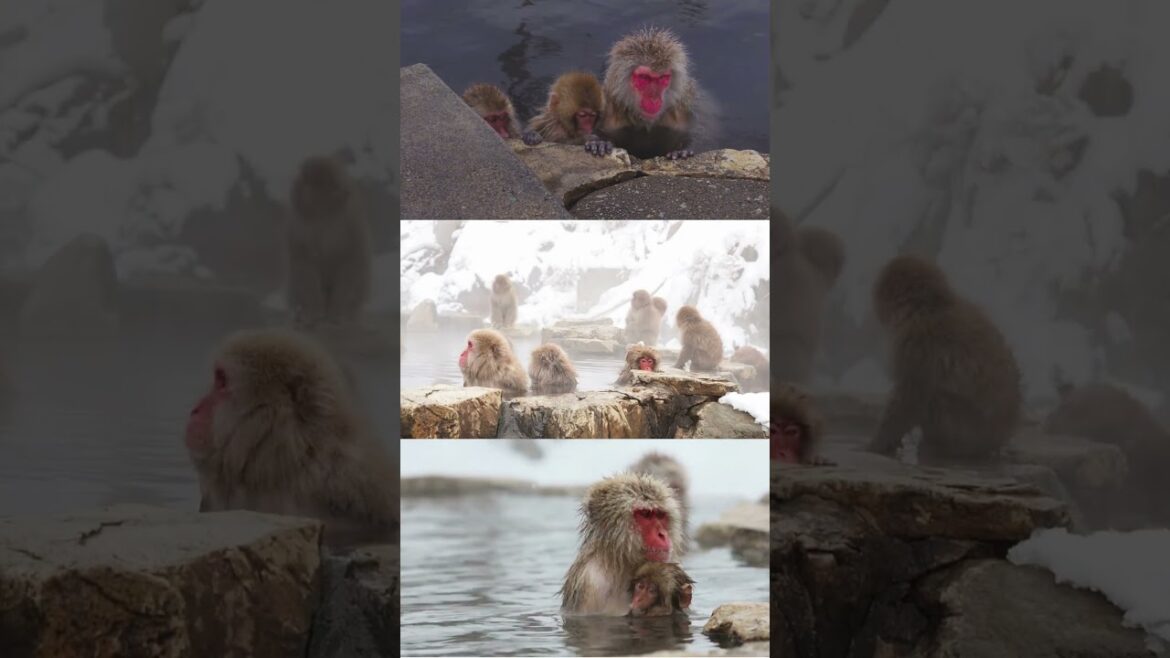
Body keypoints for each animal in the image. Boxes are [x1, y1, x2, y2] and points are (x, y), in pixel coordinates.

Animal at [287, 155, 371, 331]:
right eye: (307, 177)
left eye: (329, 180)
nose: (343, 190)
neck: (322, 214)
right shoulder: (299, 227)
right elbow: (305, 264)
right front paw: (314, 312)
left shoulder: (350, 224)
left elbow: (349, 262)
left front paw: (336, 314)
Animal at [588, 27, 707, 160]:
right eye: (644, 78)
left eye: (662, 78)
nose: (654, 99)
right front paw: (599, 141)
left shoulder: (685, 106)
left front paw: (683, 150)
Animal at [868, 255, 1022, 462]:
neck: (930, 307)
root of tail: (1003, 433)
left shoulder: (915, 344)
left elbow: (910, 398)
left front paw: (876, 444)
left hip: (968, 435)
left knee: (935, 398)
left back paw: (938, 446)